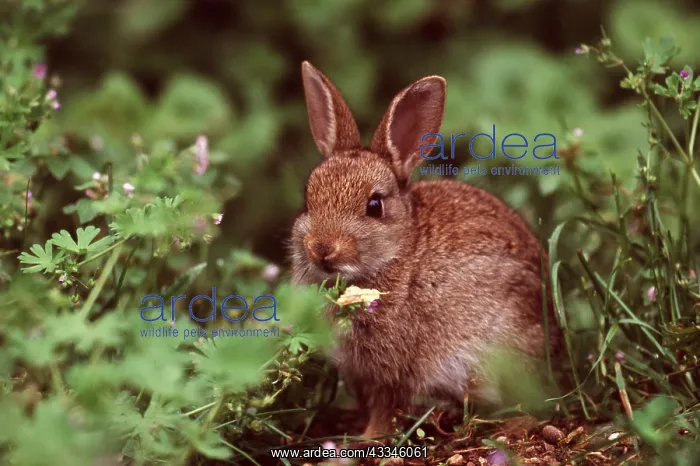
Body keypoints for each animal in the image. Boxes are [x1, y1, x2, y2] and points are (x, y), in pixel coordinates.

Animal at [289, 61, 561, 440]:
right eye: (308, 198)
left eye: (374, 206)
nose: (322, 249)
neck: (398, 253)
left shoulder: (394, 368)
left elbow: (387, 405)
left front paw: (367, 438)